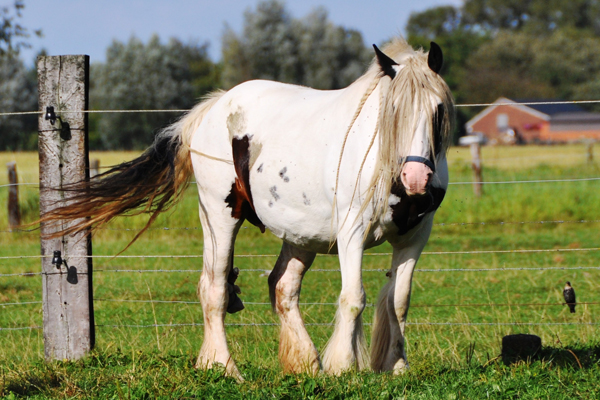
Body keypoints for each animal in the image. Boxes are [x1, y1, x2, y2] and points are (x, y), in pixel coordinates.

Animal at [41, 36, 454, 378]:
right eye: (394, 110)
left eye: (437, 110)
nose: (416, 177)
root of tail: (212, 108)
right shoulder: (352, 232)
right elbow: (354, 298)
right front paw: (343, 366)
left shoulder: (414, 238)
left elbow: (398, 302)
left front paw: (395, 366)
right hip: (220, 217)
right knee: (214, 289)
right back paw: (224, 367)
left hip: (301, 235)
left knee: (282, 287)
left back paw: (305, 362)